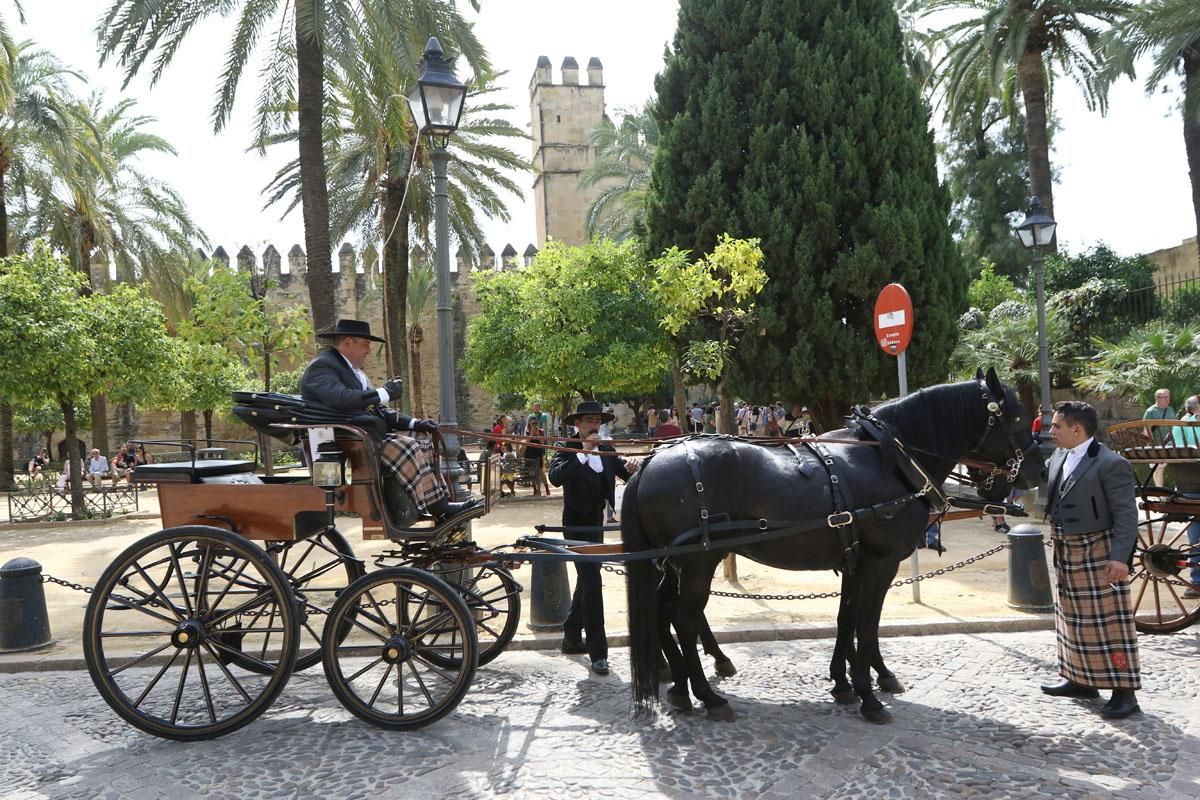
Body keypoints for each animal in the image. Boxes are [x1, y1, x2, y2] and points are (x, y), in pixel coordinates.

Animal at [624, 369, 1046, 724]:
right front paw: (869, 696)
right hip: (698, 563)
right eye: (1019, 419)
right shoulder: (881, 564)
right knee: (684, 619)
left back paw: (681, 688)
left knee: (662, 612)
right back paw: (709, 696)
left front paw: (846, 683)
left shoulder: (853, 564)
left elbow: (847, 620)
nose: (1039, 471)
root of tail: (648, 463)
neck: (890, 458)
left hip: (675, 564)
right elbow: (867, 624)